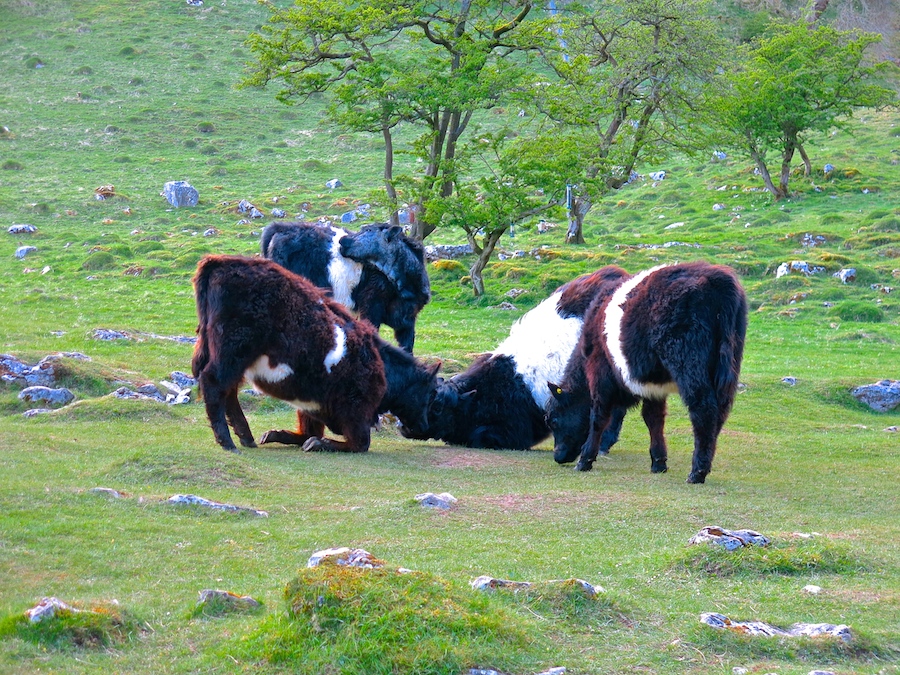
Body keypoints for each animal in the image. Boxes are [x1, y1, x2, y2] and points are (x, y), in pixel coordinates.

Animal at [192, 258, 440, 454]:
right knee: (214, 383)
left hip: (235, 360)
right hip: (232, 354)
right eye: (430, 393)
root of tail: (220, 262)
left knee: (229, 391)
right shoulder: (356, 411)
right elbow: (360, 444)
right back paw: (228, 442)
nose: (425, 426)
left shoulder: (311, 404)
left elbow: (306, 432)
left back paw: (246, 437)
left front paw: (278, 435)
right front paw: (320, 444)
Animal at [258, 224, 430, 356]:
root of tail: (279, 228)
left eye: (368, 230)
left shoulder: (408, 319)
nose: (342, 240)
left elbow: (408, 347)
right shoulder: (371, 305)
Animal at [548, 260, 744, 486]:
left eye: (553, 419)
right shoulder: (654, 386)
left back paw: (697, 472)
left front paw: (585, 460)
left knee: (704, 410)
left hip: (690, 367)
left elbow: (598, 416)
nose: (557, 456)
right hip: (728, 367)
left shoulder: (600, 373)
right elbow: (654, 418)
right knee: (720, 413)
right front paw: (659, 462)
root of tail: (717, 277)